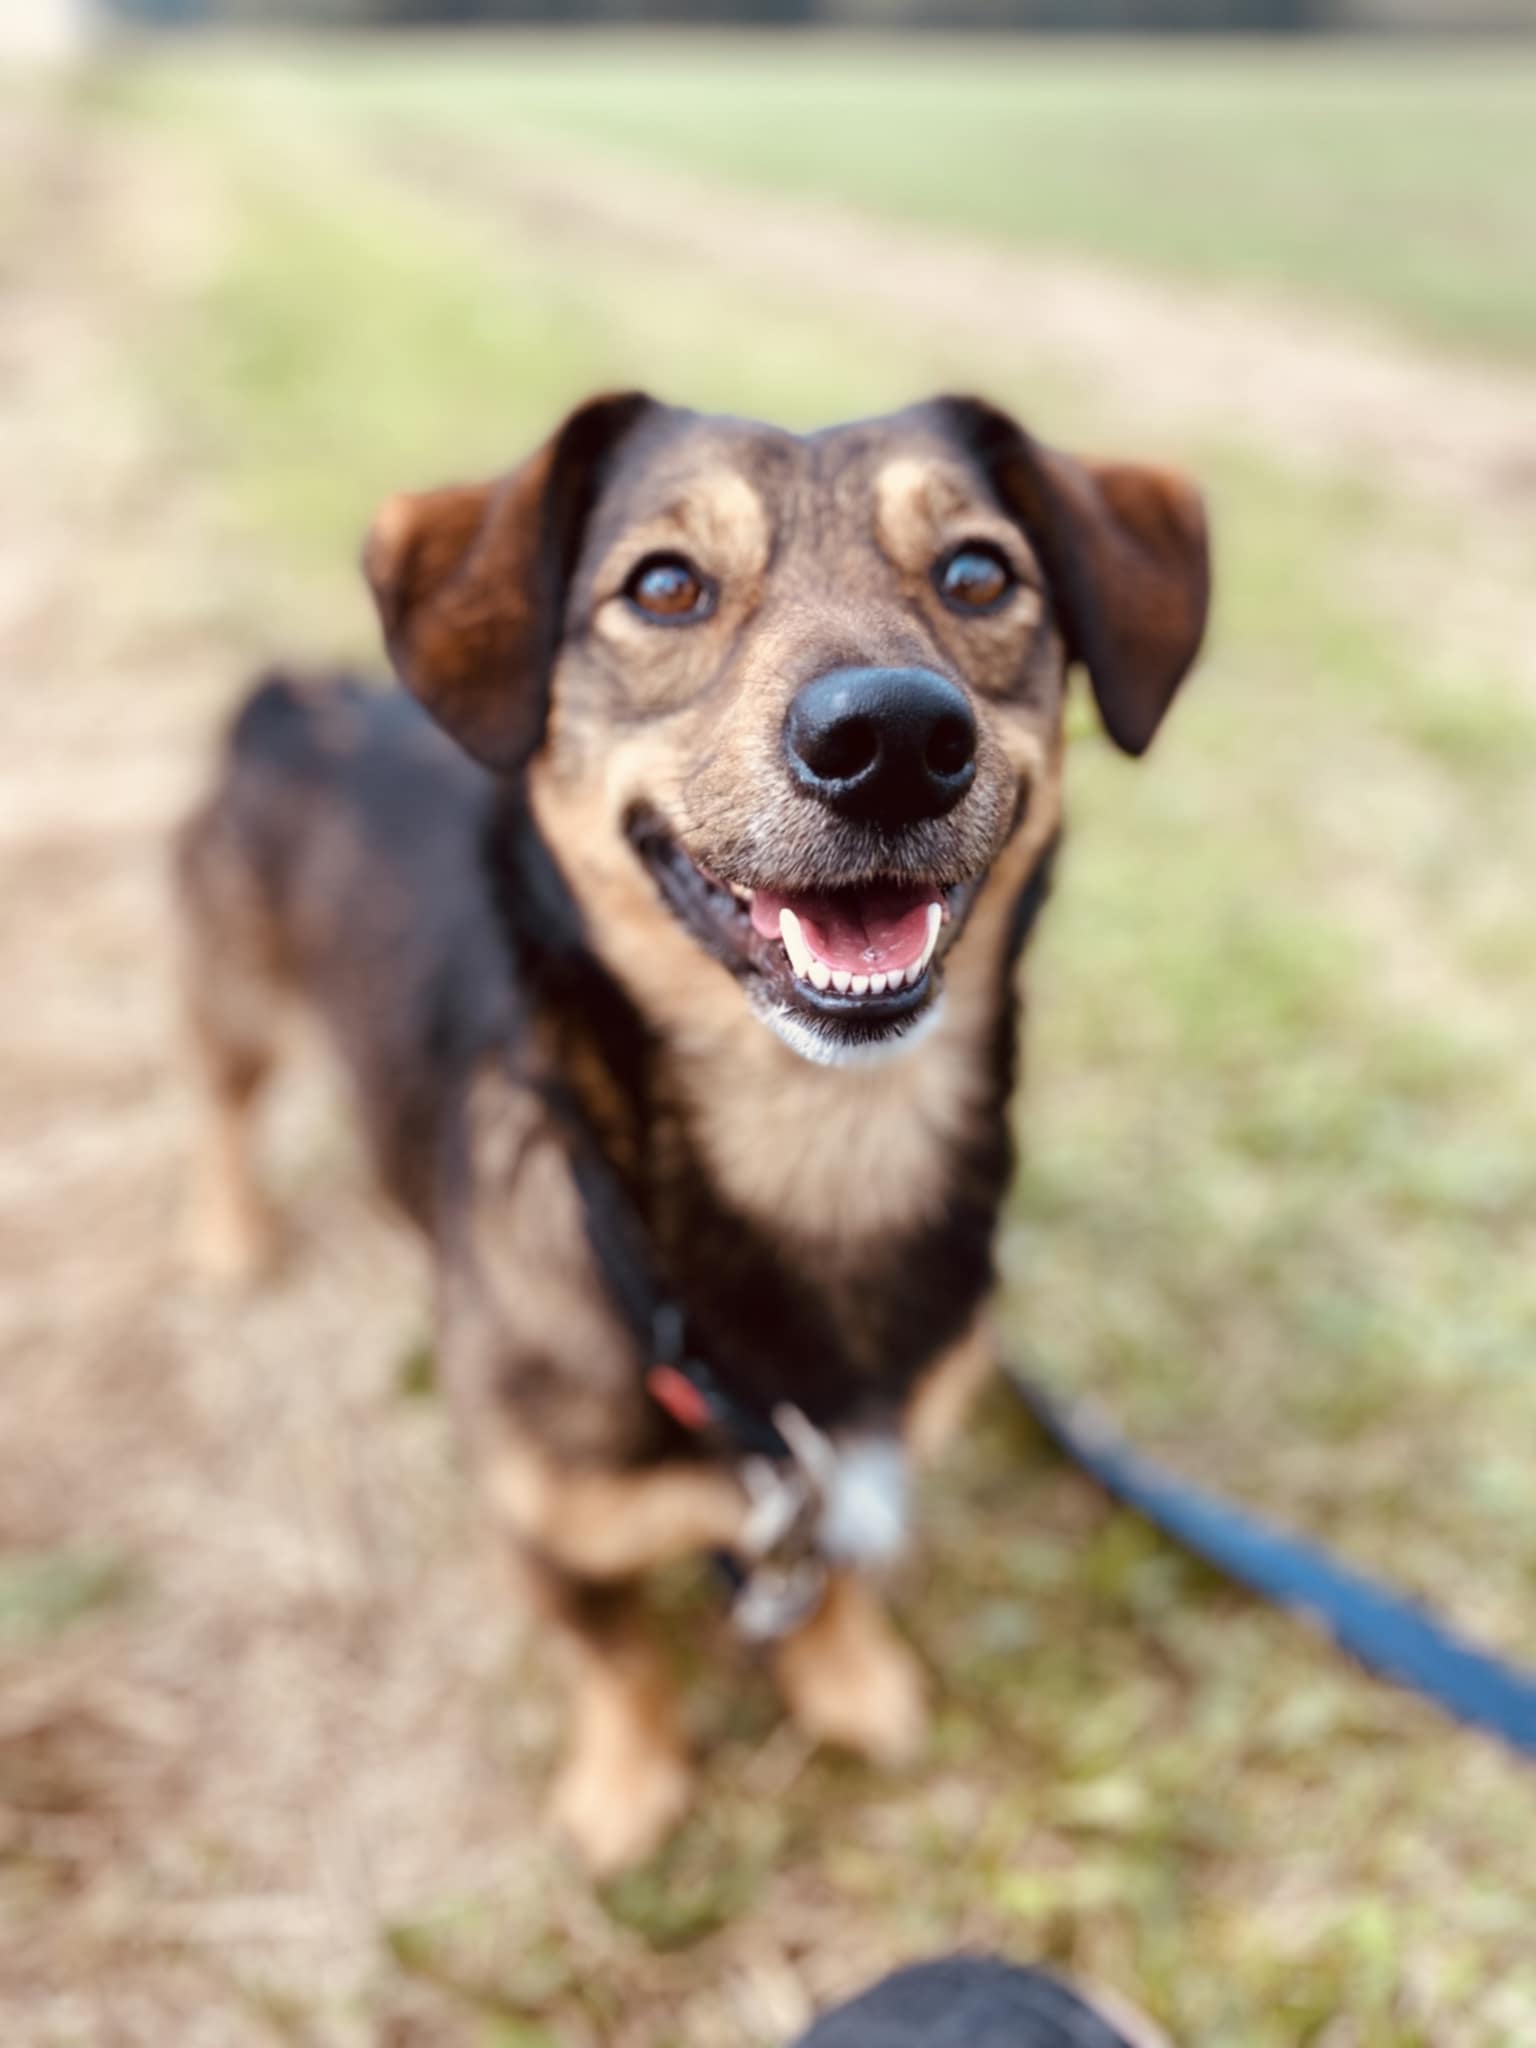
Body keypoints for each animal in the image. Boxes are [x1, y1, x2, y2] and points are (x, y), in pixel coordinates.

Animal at [175, 392, 1209, 1874]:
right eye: (664, 585)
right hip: (234, 999)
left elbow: (832, 1584)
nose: (894, 737)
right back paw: (226, 1230)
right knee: (221, 1104)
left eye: (977, 573)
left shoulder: (854, 1479)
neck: (818, 1147)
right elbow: (617, 1658)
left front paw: (853, 1685)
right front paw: (629, 1789)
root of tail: (292, 699)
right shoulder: (546, 1526)